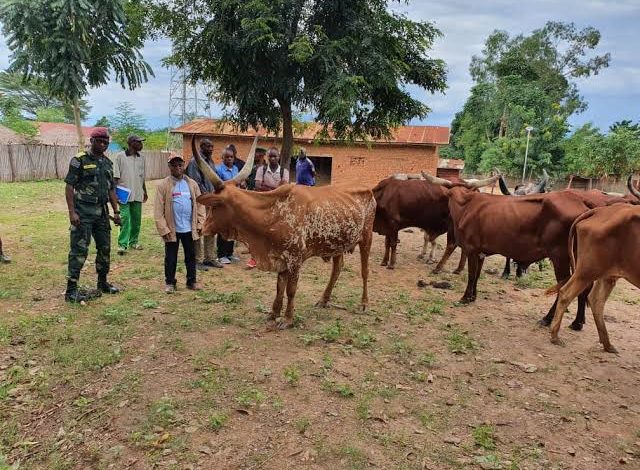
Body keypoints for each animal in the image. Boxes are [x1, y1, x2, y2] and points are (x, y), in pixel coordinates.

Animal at [191, 136, 376, 329]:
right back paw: (324, 300)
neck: (272, 213)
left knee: (365, 271)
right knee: (337, 268)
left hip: (366, 237)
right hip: (337, 243)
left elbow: (291, 290)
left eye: (214, 206)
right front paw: (273, 314)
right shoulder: (281, 257)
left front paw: (287, 319)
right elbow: (280, 287)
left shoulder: (295, 259)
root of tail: (369, 190)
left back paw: (364, 303)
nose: (201, 228)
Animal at [422, 171, 627, 330]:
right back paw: (577, 322)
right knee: (583, 287)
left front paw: (465, 298)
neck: (466, 205)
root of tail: (584, 202)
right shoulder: (480, 252)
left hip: (560, 256)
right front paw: (473, 297)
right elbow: (477, 275)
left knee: (564, 287)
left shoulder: (472, 249)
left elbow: (471, 275)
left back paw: (547, 319)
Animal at [550, 177, 640, 352]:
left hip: (608, 274)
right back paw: (555, 335)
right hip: (587, 270)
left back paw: (607, 343)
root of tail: (598, 211)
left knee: (595, 301)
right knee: (566, 293)